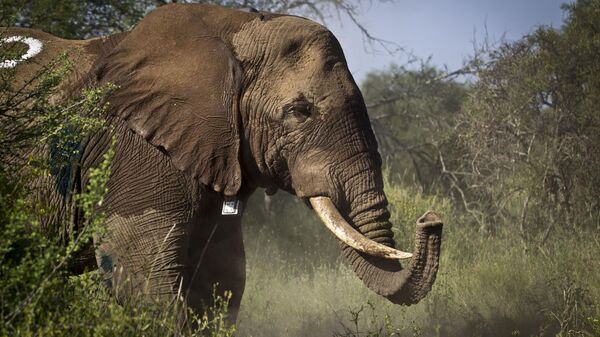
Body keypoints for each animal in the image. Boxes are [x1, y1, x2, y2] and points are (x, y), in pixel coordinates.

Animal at [2, 3, 442, 322]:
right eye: (299, 112)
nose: (431, 219)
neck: (234, 28)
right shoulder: (133, 148)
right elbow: (142, 278)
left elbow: (221, 280)